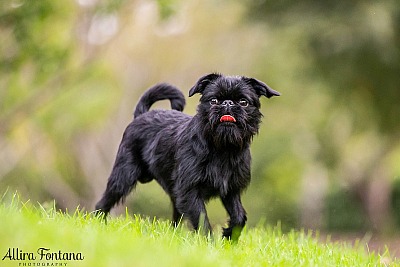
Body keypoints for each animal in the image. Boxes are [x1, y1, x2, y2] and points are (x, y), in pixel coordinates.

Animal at [95, 74, 280, 241]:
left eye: (243, 102)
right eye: (213, 100)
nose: (227, 103)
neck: (222, 148)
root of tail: (141, 115)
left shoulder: (231, 191)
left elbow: (240, 216)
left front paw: (229, 236)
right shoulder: (189, 191)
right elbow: (202, 219)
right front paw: (209, 244)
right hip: (123, 175)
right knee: (106, 200)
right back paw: (97, 222)